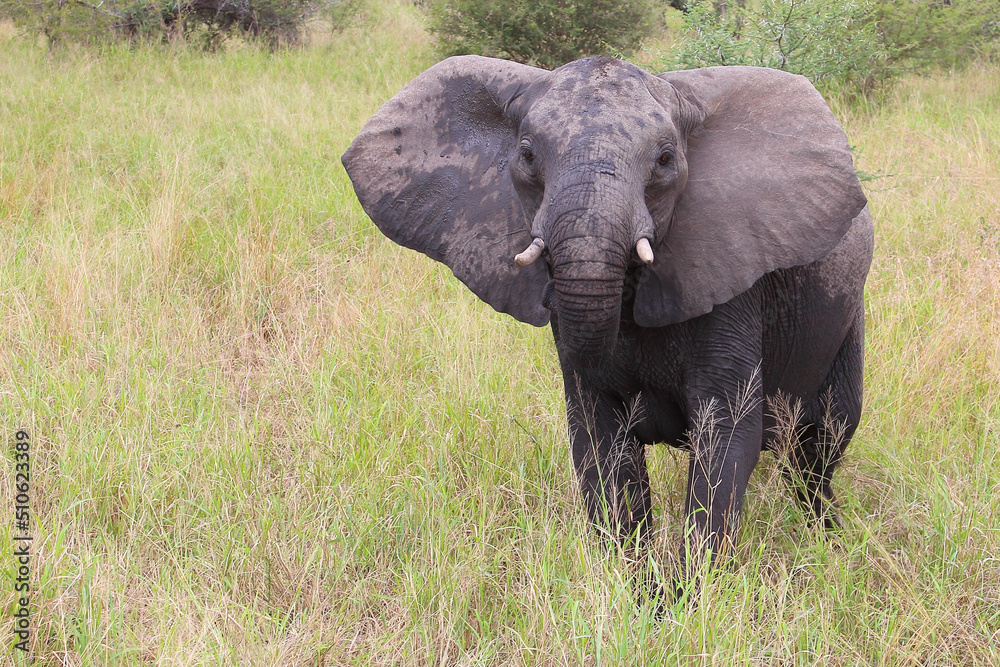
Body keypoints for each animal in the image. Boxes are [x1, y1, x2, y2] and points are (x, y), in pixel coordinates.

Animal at [342, 55, 873, 581]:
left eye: (664, 160)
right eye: (527, 155)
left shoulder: (733, 279)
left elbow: (725, 434)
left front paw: (687, 594)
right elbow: (600, 443)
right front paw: (635, 587)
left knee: (821, 447)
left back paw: (830, 542)